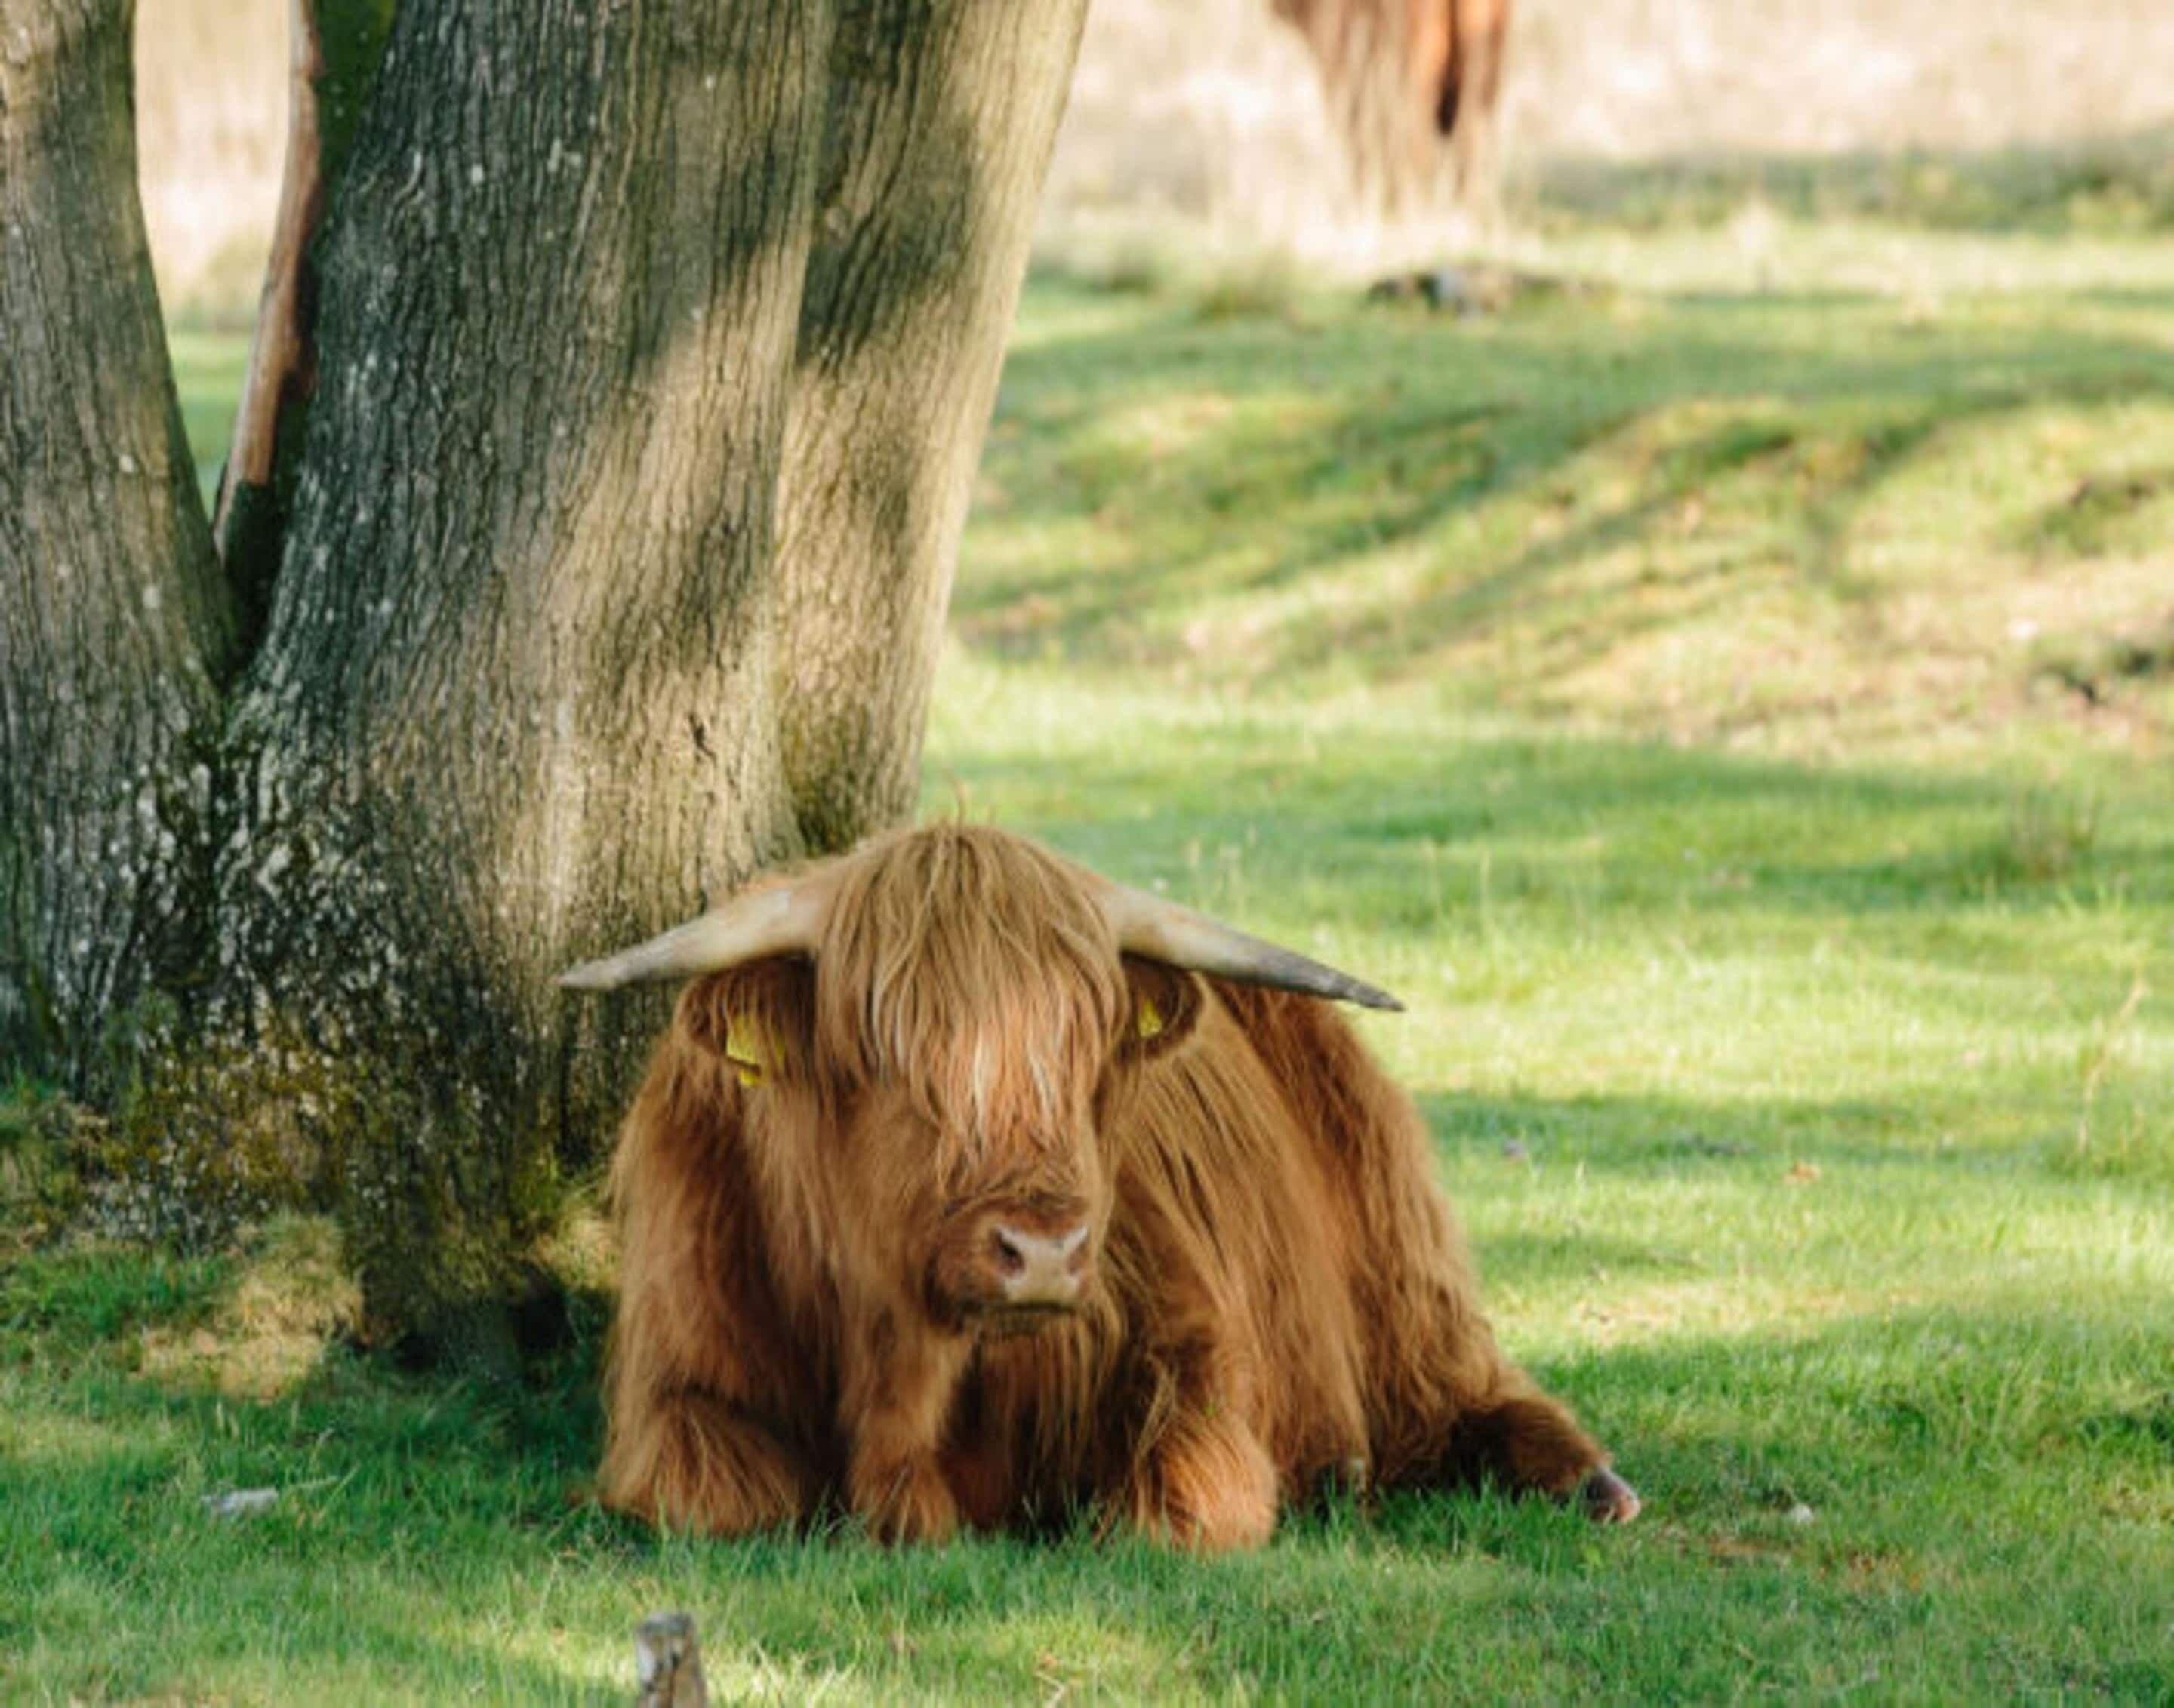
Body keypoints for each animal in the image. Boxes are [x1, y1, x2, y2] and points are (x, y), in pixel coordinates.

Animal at [561, 823, 1637, 1549]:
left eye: (1085, 1052)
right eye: (884, 1052)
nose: (1042, 1253)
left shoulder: (1190, 1353)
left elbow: (1175, 1506)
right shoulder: (681, 1389)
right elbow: (720, 1501)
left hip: (1401, 1253)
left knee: (1463, 1383)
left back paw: (1587, 1482)